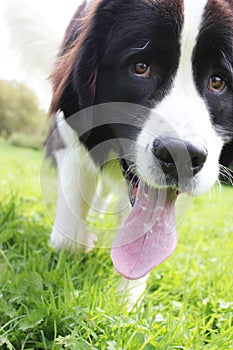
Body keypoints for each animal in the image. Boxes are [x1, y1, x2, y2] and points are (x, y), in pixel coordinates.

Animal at [46, 0, 231, 300]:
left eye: (218, 82)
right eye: (141, 67)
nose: (180, 155)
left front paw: (127, 299)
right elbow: (69, 228)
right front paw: (79, 238)